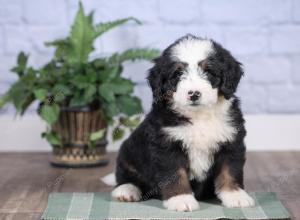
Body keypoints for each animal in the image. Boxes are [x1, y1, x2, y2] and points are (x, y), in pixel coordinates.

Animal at [111, 34, 254, 211]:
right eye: (177, 74)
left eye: (208, 71)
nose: (194, 94)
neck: (199, 117)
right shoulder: (167, 146)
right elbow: (176, 175)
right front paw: (181, 199)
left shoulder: (231, 140)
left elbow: (230, 170)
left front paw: (236, 196)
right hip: (128, 153)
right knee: (126, 176)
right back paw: (126, 190)